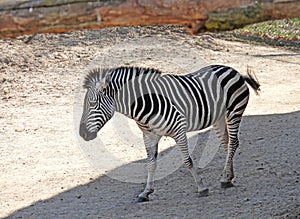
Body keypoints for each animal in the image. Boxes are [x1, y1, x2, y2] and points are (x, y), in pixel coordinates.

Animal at [79, 64, 260, 203]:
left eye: (93, 104)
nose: (82, 135)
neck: (146, 103)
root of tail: (233, 70)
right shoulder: (149, 136)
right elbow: (150, 164)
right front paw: (146, 192)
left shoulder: (179, 131)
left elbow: (187, 161)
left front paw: (202, 188)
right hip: (219, 118)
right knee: (226, 143)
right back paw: (228, 177)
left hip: (234, 112)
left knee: (234, 142)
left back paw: (225, 177)